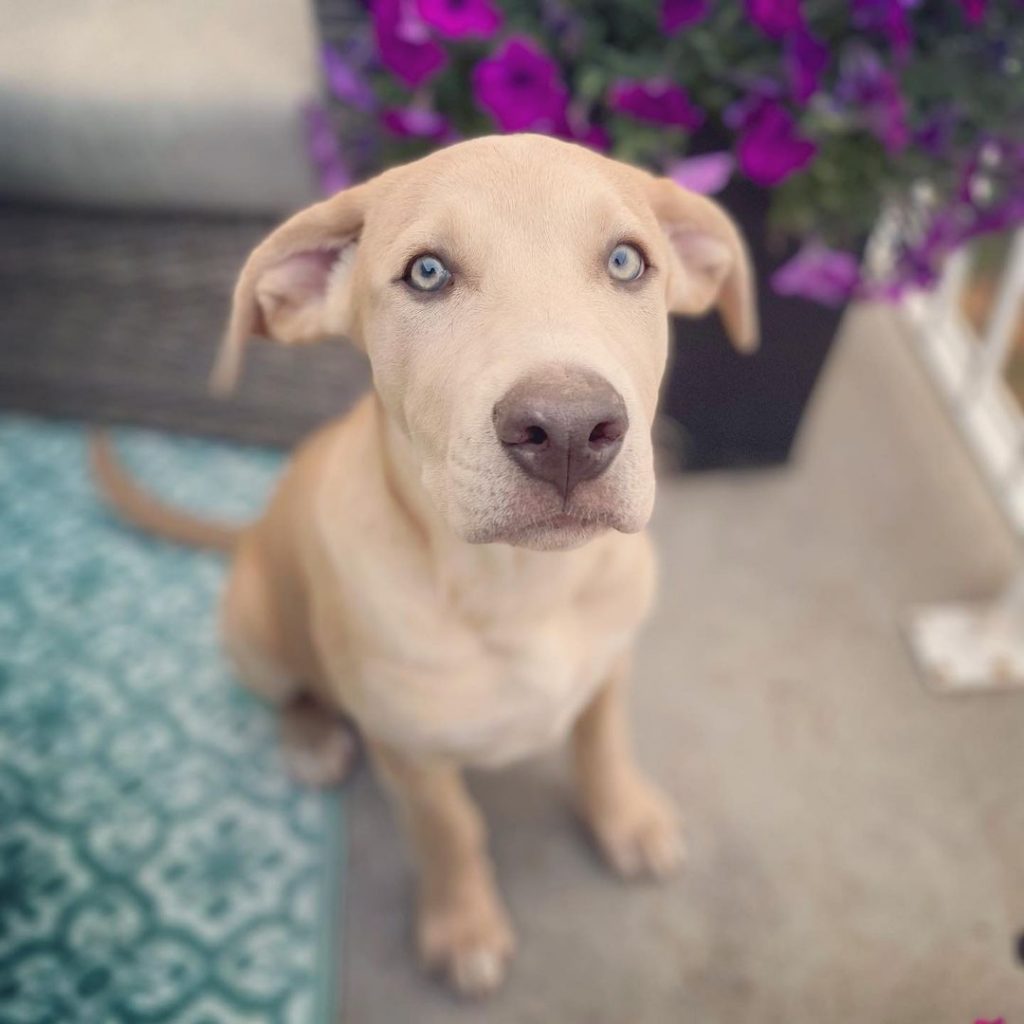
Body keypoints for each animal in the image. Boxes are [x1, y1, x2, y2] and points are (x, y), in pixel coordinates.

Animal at [92, 132, 757, 995]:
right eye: (428, 273)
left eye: (625, 262)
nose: (569, 431)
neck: (521, 587)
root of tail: (250, 533)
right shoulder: (409, 753)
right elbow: (450, 831)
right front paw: (462, 925)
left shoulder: (611, 666)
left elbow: (604, 745)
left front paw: (627, 818)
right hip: (253, 632)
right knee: (290, 688)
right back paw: (310, 736)